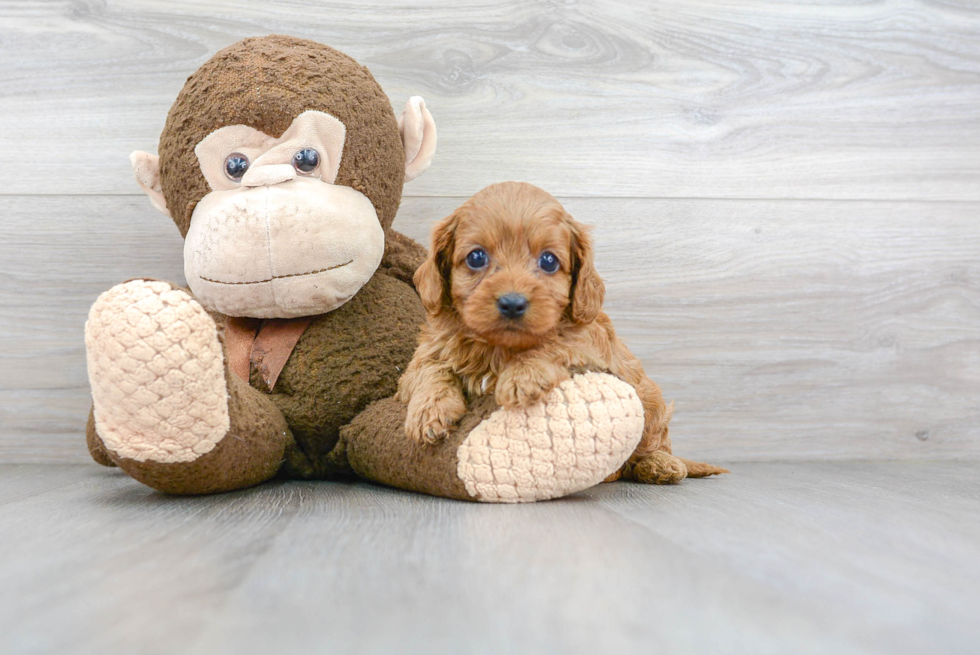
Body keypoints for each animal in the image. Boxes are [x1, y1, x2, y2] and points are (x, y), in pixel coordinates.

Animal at [398, 182, 728, 484]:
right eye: (476, 257)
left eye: (548, 261)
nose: (512, 303)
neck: (499, 347)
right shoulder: (428, 351)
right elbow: (429, 369)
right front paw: (429, 412)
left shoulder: (588, 347)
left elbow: (554, 344)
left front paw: (522, 377)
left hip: (651, 401)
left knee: (651, 445)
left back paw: (659, 464)